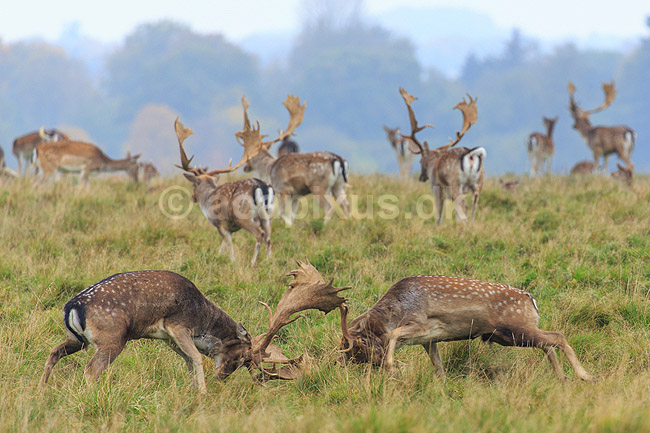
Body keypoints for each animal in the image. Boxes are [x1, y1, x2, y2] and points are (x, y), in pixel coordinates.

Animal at [40, 263, 350, 392]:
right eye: (241, 358)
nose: (222, 378)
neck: (203, 316)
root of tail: (72, 306)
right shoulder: (177, 325)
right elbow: (198, 359)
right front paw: (201, 393)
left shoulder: (167, 337)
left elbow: (189, 361)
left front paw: (194, 391)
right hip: (112, 339)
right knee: (90, 371)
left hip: (77, 340)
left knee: (53, 353)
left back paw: (41, 390)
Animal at [241, 96, 350, 226]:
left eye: (248, 156)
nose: (245, 167)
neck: (269, 170)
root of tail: (338, 160)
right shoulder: (296, 194)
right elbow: (293, 214)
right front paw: (292, 226)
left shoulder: (283, 190)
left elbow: (281, 213)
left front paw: (289, 226)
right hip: (339, 185)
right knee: (347, 204)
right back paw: (349, 222)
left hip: (320, 186)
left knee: (328, 207)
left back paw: (324, 226)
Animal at [338, 274, 595, 382]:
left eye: (357, 346)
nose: (340, 363)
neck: (397, 310)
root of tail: (532, 301)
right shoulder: (429, 339)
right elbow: (438, 364)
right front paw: (442, 384)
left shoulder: (422, 324)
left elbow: (394, 334)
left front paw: (392, 368)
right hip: (511, 335)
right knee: (547, 344)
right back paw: (562, 377)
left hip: (518, 328)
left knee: (557, 336)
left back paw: (586, 376)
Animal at [401, 88, 484, 225]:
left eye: (420, 161)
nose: (421, 177)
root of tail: (471, 156)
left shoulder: (436, 187)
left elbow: (439, 213)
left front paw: (436, 227)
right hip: (478, 183)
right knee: (473, 207)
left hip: (455, 183)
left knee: (464, 205)